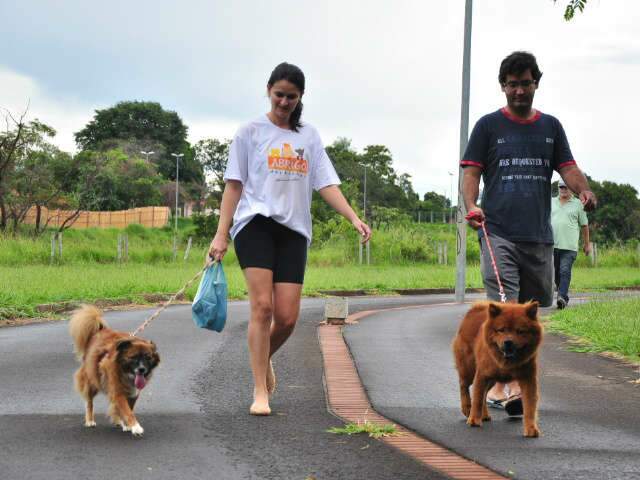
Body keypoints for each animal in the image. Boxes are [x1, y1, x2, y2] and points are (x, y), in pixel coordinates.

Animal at [69, 306, 160, 436]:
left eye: (148, 357)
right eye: (133, 357)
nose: (142, 369)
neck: (126, 373)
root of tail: (100, 329)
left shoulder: (133, 393)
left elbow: (128, 409)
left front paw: (126, 424)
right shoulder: (118, 392)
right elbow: (127, 411)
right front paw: (135, 427)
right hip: (92, 380)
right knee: (89, 402)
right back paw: (90, 420)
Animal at [452, 304, 544, 438]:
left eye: (520, 331)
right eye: (501, 330)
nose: (508, 342)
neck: (506, 362)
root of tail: (474, 309)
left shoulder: (528, 379)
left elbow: (529, 406)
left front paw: (531, 429)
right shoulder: (482, 375)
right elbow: (477, 399)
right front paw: (474, 420)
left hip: (492, 380)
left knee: (484, 394)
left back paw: (484, 415)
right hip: (469, 369)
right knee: (463, 386)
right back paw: (467, 408)